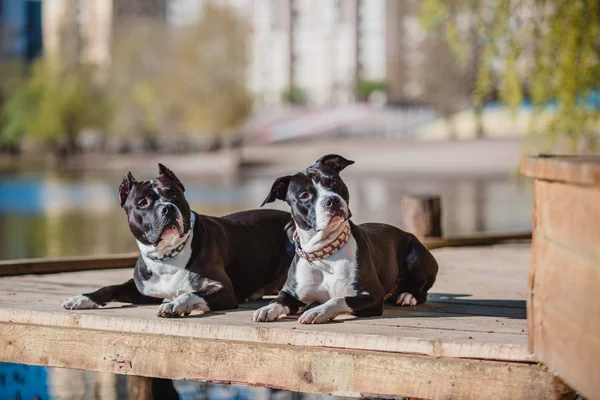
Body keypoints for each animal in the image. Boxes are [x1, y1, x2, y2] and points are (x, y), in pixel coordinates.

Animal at [63, 164, 292, 318]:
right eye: (142, 203)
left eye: (174, 195)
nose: (167, 208)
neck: (167, 257)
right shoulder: (143, 290)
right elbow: (110, 288)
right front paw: (82, 298)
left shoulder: (223, 289)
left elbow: (191, 293)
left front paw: (175, 305)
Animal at [251, 155, 438, 324]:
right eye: (304, 195)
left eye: (334, 182)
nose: (332, 200)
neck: (324, 252)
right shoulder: (292, 294)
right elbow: (278, 299)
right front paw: (267, 308)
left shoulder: (372, 296)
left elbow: (339, 299)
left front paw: (317, 311)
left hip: (416, 255)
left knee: (421, 290)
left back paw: (407, 295)